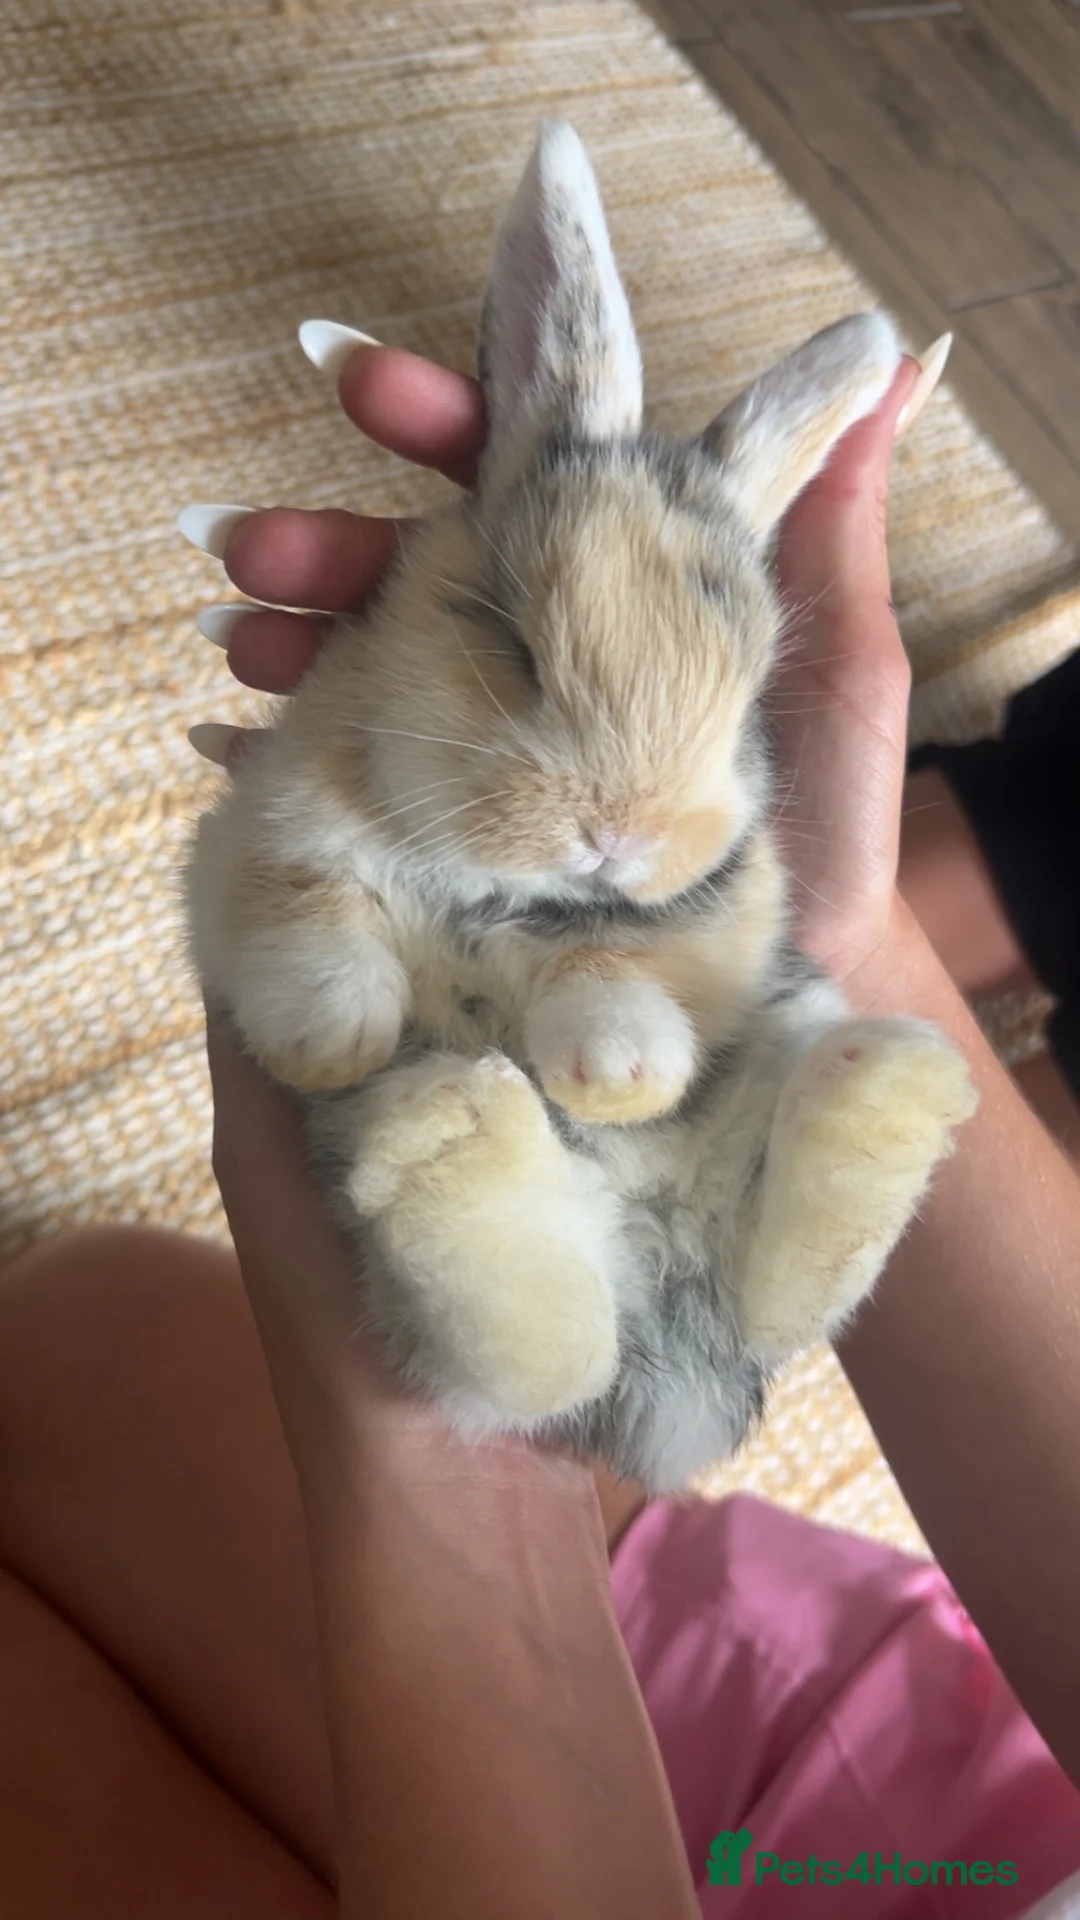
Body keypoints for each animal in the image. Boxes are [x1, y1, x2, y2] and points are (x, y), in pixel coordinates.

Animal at [186, 120, 977, 1493]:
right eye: (511, 642)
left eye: (749, 690)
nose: (621, 837)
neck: (499, 888)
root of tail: (670, 1354)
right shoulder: (252, 842)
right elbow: (309, 911)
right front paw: (332, 1037)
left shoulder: (717, 922)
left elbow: (619, 969)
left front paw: (616, 1070)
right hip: (455, 1297)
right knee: (546, 1353)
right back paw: (448, 1128)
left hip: (785, 1038)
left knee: (771, 1296)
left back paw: (890, 1082)